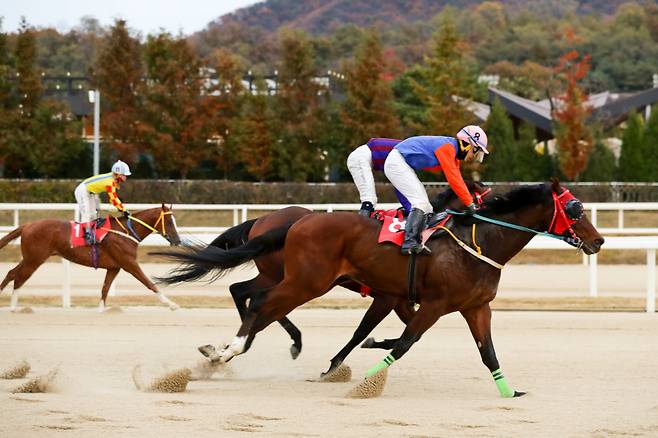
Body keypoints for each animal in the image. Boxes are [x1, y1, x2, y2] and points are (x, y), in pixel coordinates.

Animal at [0, 204, 179, 312]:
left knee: (11, 273)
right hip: (35, 259)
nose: (177, 240)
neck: (126, 232)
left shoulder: (114, 267)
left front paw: (101, 310)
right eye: (170, 222)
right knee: (19, 278)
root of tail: (27, 225)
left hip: (29, 258)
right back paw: (13, 308)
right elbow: (150, 283)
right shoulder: (129, 264)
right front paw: (172, 304)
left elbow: (105, 289)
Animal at [160, 180, 604, 398]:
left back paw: (227, 352)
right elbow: (403, 342)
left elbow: (487, 352)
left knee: (246, 293)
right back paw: (233, 349)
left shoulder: (473, 306)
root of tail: (293, 221)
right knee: (261, 303)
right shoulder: (429, 302)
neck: (479, 243)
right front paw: (365, 381)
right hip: (304, 281)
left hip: (294, 278)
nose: (598, 241)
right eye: (575, 208)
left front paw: (509, 391)